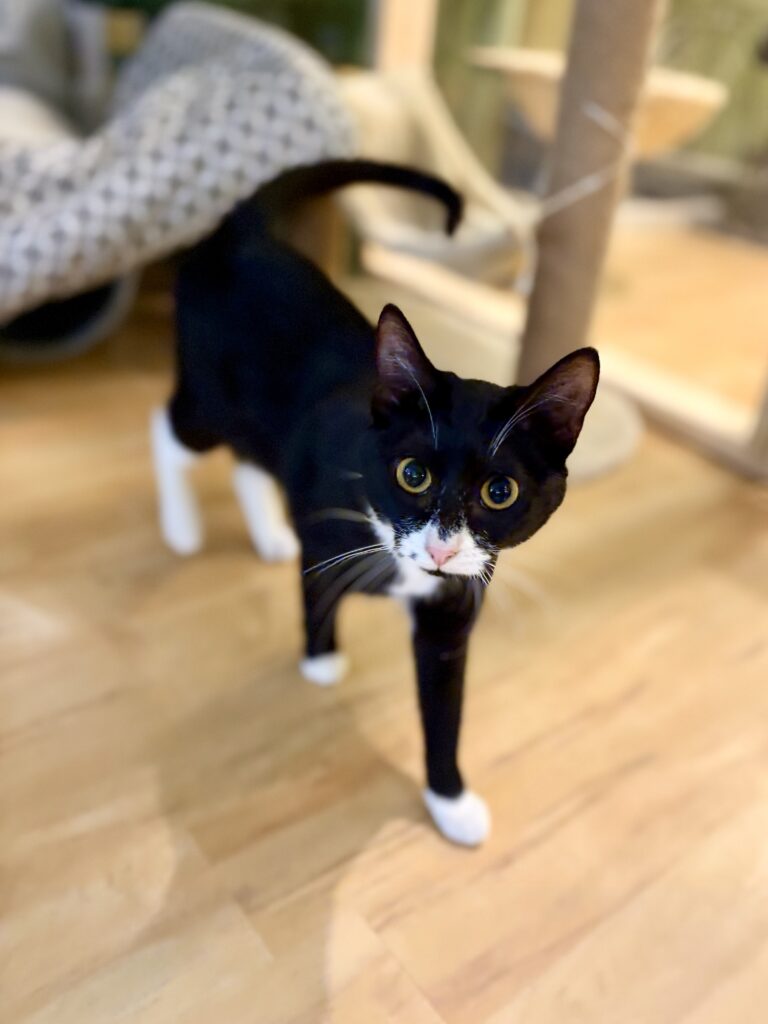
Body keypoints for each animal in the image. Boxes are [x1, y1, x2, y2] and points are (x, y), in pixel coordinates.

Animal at [152, 159, 600, 846]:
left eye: (500, 492)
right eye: (412, 474)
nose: (441, 547)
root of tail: (243, 231)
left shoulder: (453, 606)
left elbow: (445, 707)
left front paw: (451, 800)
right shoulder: (324, 527)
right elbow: (315, 587)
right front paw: (321, 661)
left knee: (251, 458)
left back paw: (267, 534)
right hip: (208, 392)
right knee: (171, 432)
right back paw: (181, 528)